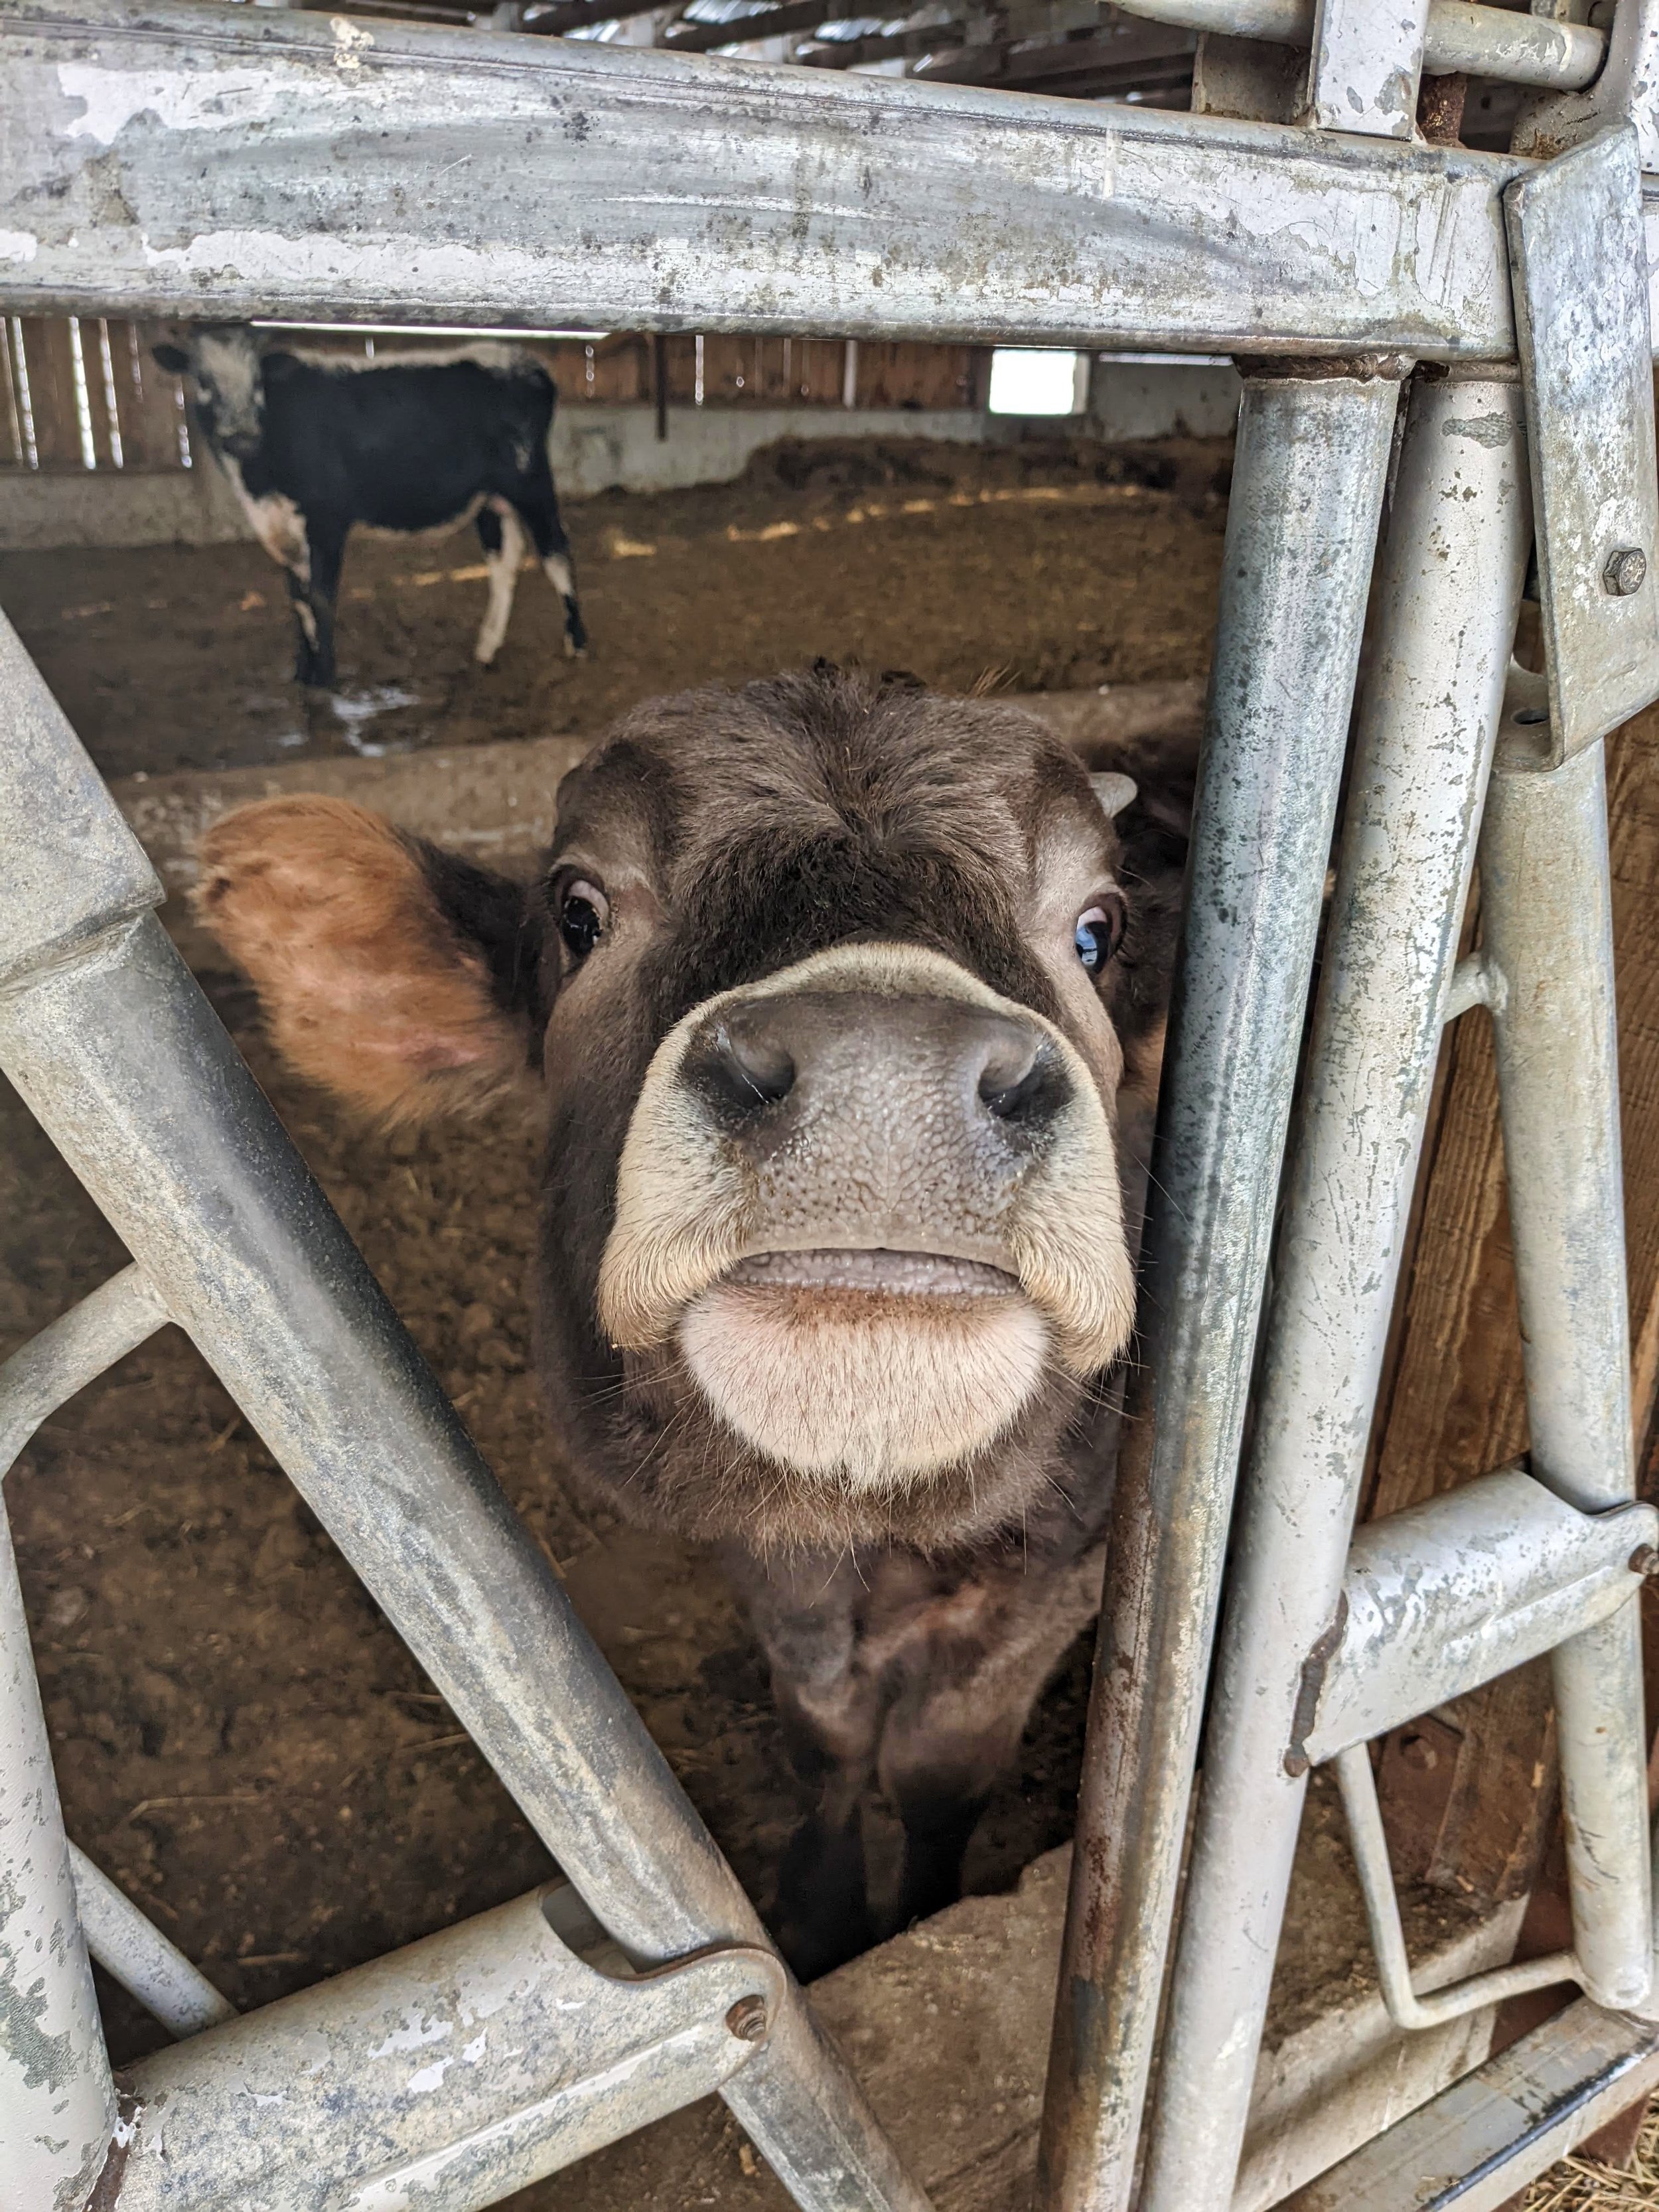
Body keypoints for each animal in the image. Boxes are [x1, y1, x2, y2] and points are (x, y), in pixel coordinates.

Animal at [151, 327, 587, 690]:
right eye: (203, 381)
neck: (259, 484)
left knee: (556, 551)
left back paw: (577, 642)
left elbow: (321, 598)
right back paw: (487, 645)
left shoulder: (326, 518)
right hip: (490, 497)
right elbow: (296, 599)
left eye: (258, 382)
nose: (241, 437)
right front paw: (302, 671)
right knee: (504, 562)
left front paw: (325, 678)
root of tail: (520, 357)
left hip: (530, 481)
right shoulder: (281, 526)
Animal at [191, 666, 1188, 1979]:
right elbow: (826, 1733)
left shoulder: (1058, 1585)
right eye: (579, 912)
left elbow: (937, 1774)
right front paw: (821, 1909)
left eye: (1096, 929)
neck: (864, 1530)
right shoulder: (763, 1566)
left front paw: (920, 1910)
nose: (886, 1073)